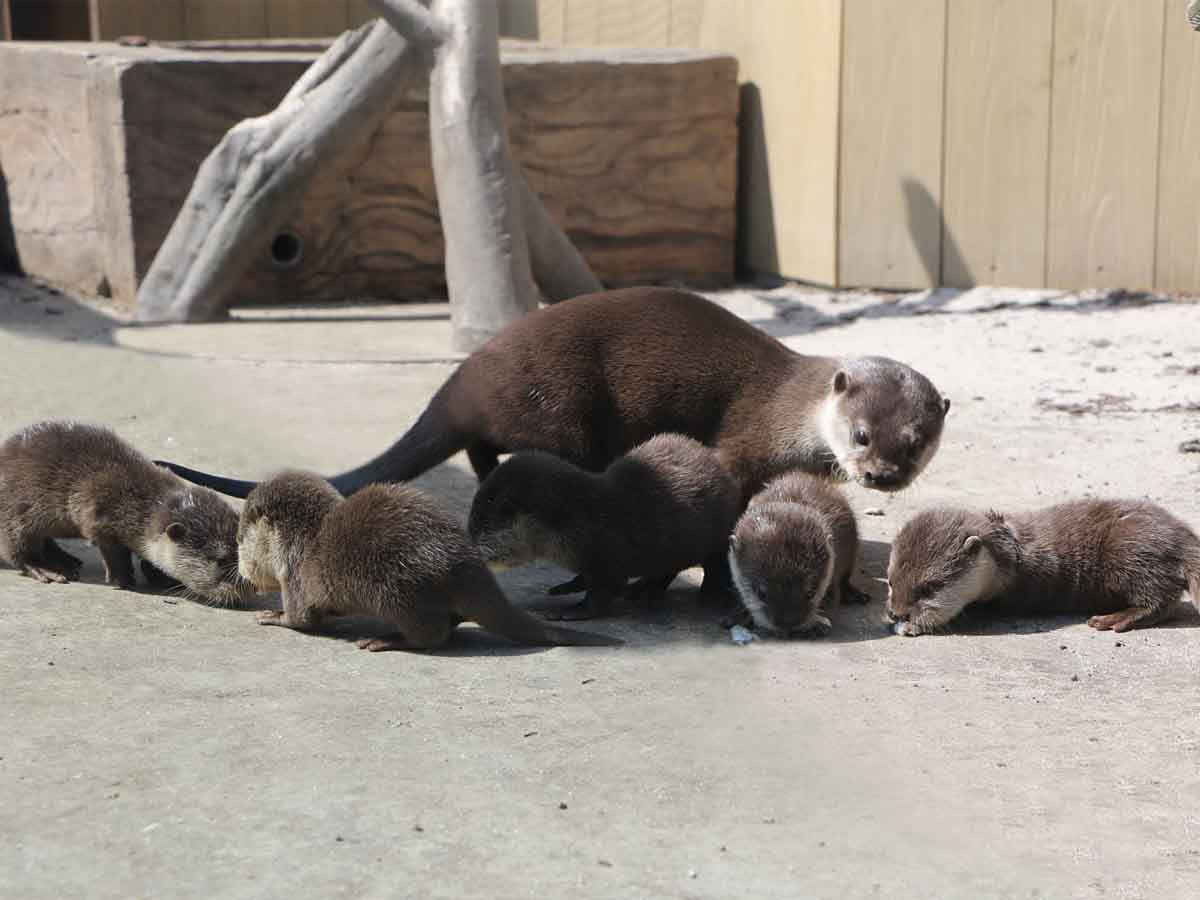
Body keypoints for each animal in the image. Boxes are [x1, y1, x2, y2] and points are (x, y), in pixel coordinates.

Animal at [0, 422, 253, 607]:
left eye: (241, 554)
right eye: (219, 560)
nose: (247, 589)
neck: (137, 502)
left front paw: (161, 575)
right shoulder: (97, 513)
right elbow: (114, 551)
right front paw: (124, 579)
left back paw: (65, 559)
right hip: (13, 510)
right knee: (17, 548)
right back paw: (46, 568)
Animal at [240, 472, 624, 648]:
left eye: (240, 538)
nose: (241, 569)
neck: (304, 538)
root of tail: (464, 566)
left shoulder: (294, 577)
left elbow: (302, 620)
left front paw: (272, 615)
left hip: (399, 593)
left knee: (433, 634)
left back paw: (387, 640)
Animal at [465, 434, 739, 619]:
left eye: (480, 527)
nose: (469, 550)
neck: (581, 519)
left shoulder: (608, 557)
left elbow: (603, 594)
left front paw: (571, 611)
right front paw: (569, 586)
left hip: (717, 533)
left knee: (714, 564)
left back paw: (711, 596)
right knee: (666, 568)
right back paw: (644, 590)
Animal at [883, 501, 1200, 643]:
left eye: (929, 587)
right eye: (890, 581)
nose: (897, 613)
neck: (1011, 559)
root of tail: (1182, 535)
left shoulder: (1016, 593)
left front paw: (914, 625)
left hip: (1128, 554)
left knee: (1160, 600)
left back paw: (1112, 619)